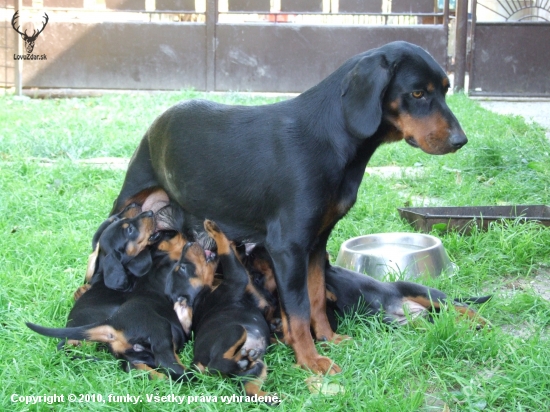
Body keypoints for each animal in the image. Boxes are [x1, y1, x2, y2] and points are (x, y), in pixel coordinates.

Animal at [110, 41, 468, 374]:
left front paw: (327, 339)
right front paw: (311, 360)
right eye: (417, 93)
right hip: (125, 204)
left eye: (446, 89)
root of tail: (157, 122)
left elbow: (316, 297)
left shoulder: (316, 243)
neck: (332, 137)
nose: (460, 141)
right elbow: (297, 310)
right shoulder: (288, 247)